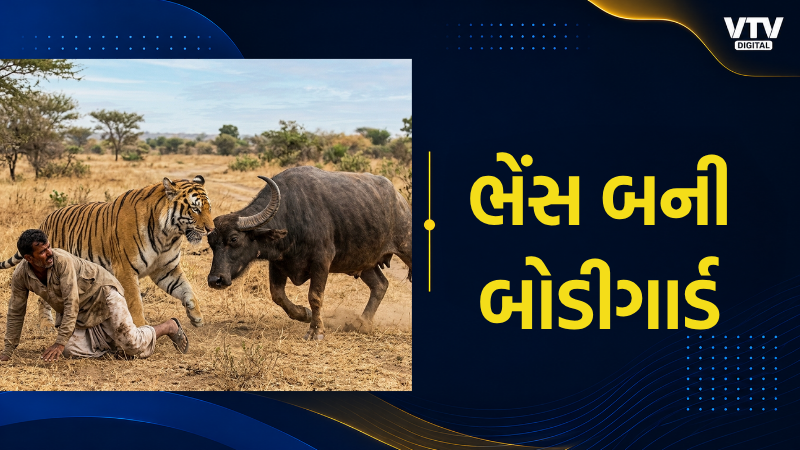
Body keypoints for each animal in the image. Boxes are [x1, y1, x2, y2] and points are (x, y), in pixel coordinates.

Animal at [0, 175, 213, 328]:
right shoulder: (126, 269)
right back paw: (46, 324)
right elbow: (135, 302)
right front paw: (141, 326)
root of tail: (45, 220)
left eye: (209, 208)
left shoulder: (165, 269)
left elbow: (186, 290)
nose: (211, 229)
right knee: (42, 298)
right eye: (195, 209)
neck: (168, 235)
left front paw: (196, 317)